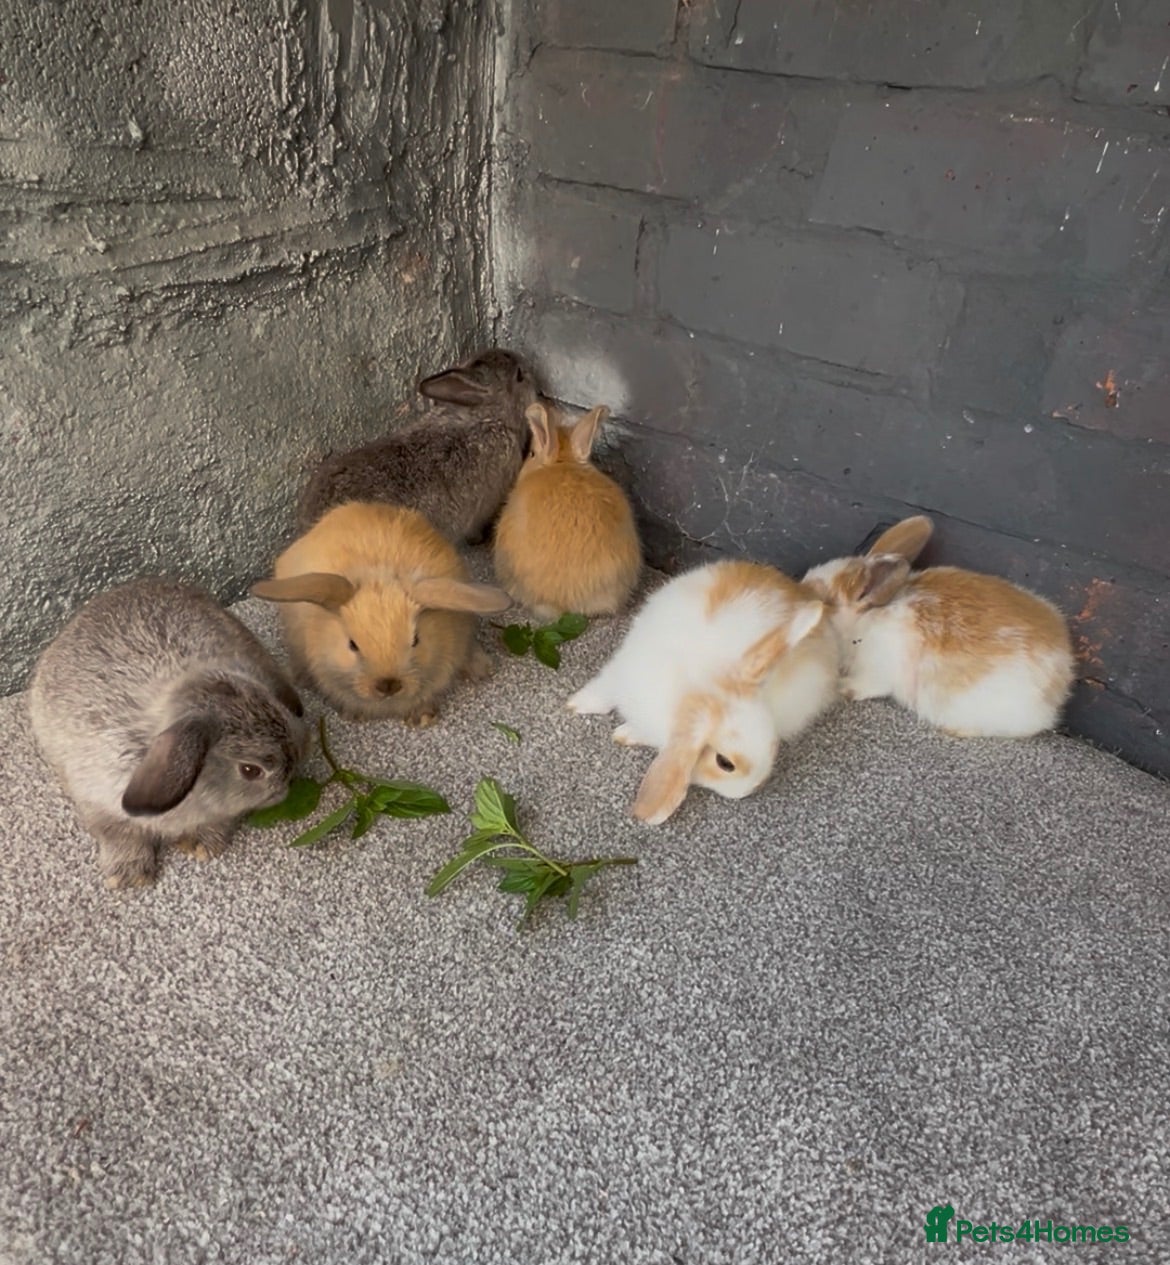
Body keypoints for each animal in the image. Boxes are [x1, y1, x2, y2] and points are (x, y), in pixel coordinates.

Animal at [28, 579, 308, 891]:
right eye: (250, 770)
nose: (287, 785)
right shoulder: (98, 800)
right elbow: (118, 833)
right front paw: (130, 876)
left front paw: (201, 846)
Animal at [568, 560, 840, 825]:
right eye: (725, 763)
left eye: (773, 744)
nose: (749, 790)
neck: (700, 687)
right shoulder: (622, 672)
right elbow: (604, 691)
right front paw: (576, 704)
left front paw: (624, 734)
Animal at [801, 515, 1075, 737]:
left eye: (823, 600)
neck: (863, 623)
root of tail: (1059, 681)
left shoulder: (877, 670)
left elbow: (867, 686)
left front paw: (842, 687)